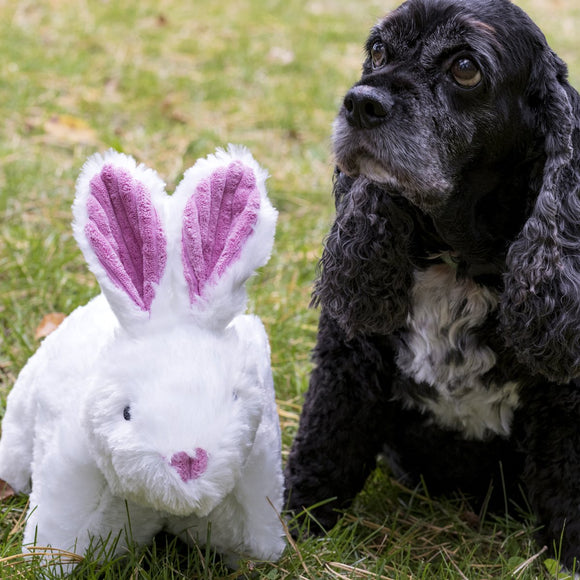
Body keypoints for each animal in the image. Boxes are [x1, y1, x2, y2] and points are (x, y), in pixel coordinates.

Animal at [286, 0, 580, 568]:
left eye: (465, 67)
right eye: (378, 51)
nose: (360, 104)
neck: (458, 262)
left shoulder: (563, 403)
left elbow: (567, 492)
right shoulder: (346, 361)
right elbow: (322, 451)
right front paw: (287, 532)